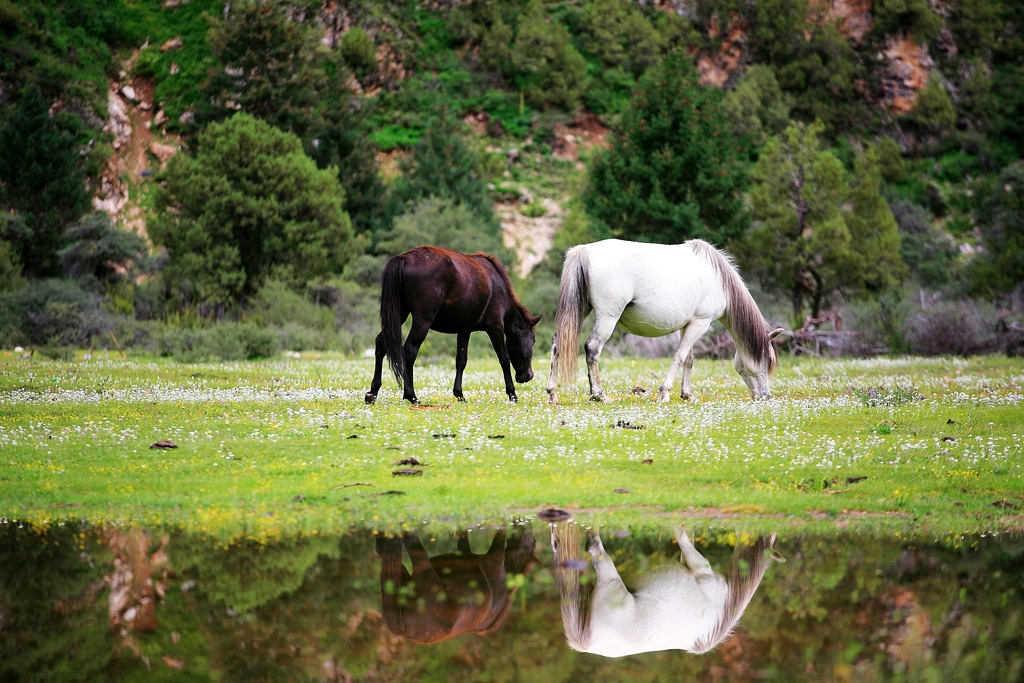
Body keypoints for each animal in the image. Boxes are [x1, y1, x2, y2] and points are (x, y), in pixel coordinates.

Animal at [368, 246, 544, 403]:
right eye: (533, 339)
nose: (528, 376)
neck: (497, 287)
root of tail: (404, 258)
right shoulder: (495, 328)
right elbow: (504, 358)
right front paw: (512, 394)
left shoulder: (464, 330)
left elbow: (461, 360)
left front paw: (459, 394)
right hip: (422, 320)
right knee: (410, 350)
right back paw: (411, 396)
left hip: (399, 314)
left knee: (381, 343)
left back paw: (372, 393)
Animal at [544, 239, 782, 403]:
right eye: (768, 360)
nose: (765, 396)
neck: (719, 281)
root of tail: (584, 251)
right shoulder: (700, 324)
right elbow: (679, 357)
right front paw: (665, 393)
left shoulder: (688, 325)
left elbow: (689, 359)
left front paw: (687, 395)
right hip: (607, 318)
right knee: (592, 348)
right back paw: (598, 395)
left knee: (557, 344)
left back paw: (553, 393)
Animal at [552, 528, 774, 659]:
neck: (727, 600)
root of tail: (585, 641)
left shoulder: (699, 568)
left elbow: (683, 539)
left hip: (611, 579)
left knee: (597, 553)